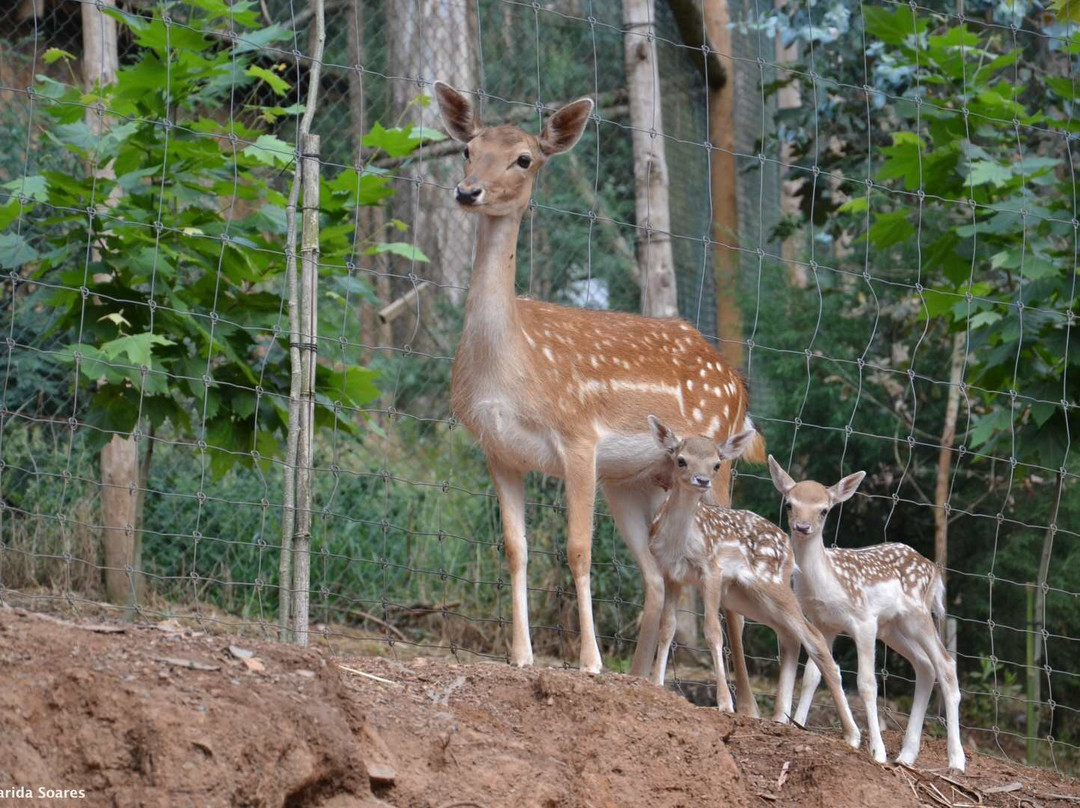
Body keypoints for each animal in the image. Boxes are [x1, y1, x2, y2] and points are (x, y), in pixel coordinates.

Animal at [434, 82, 764, 674]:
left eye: (524, 158)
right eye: (468, 149)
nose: (468, 191)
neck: (510, 368)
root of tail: (736, 383)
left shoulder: (578, 438)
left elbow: (577, 549)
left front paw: (589, 662)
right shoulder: (499, 450)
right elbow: (515, 549)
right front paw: (521, 656)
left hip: (717, 465)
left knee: (728, 587)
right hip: (637, 481)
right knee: (657, 575)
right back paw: (642, 678)